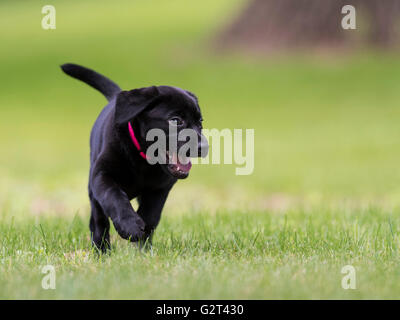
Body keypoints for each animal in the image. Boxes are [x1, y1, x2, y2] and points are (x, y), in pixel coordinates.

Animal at [61, 63, 209, 251]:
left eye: (200, 122)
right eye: (176, 120)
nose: (204, 147)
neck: (143, 160)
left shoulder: (161, 188)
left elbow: (151, 214)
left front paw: (143, 243)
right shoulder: (101, 175)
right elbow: (114, 196)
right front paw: (129, 226)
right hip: (92, 190)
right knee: (99, 221)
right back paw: (102, 250)